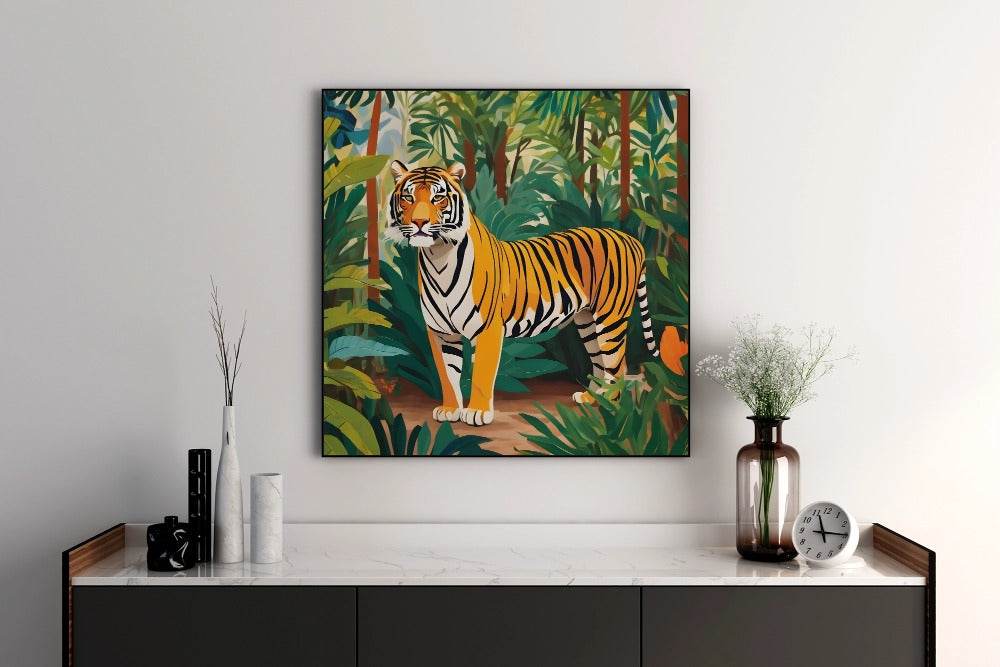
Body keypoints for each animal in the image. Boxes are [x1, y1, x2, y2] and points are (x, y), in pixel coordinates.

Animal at [384, 161, 659, 427]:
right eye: (408, 197)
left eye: (438, 197)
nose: (420, 223)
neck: (438, 257)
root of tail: (631, 239)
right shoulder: (440, 331)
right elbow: (447, 374)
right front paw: (450, 410)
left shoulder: (488, 328)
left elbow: (481, 374)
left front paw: (477, 413)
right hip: (587, 321)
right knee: (600, 362)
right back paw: (591, 399)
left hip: (610, 316)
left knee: (617, 363)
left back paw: (609, 405)